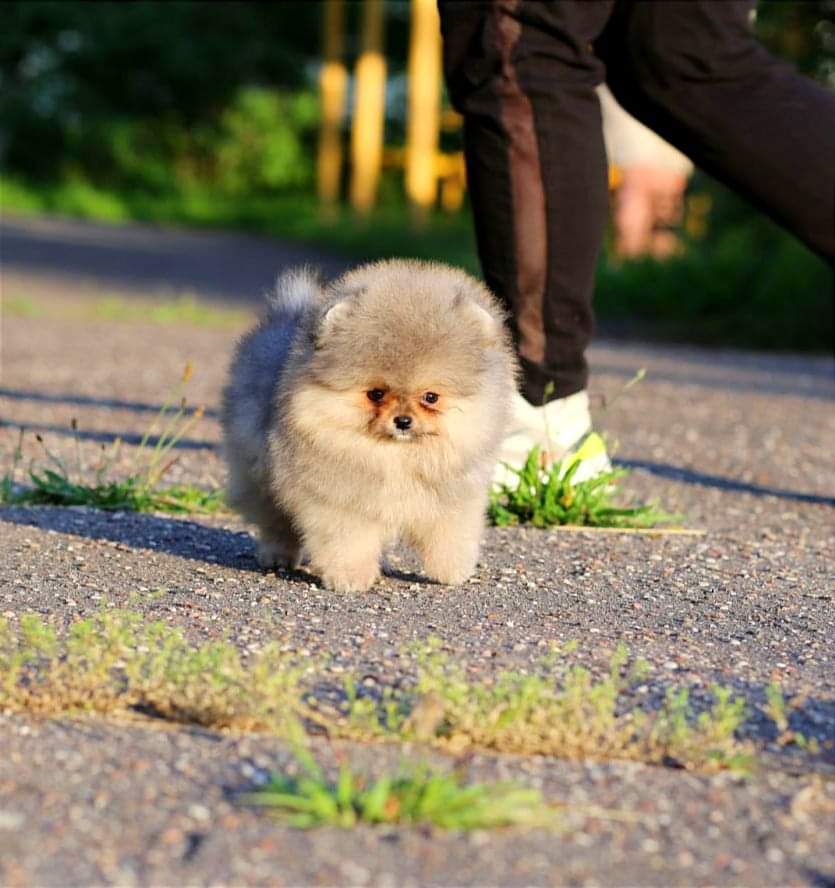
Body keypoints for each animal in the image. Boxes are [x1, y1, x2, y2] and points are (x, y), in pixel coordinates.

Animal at [225, 256, 520, 592]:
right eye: (376, 394)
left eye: (430, 397)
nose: (403, 421)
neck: (396, 457)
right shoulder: (340, 499)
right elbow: (349, 541)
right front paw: (350, 577)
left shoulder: (453, 494)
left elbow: (451, 533)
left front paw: (453, 570)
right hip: (258, 473)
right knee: (275, 520)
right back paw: (277, 555)